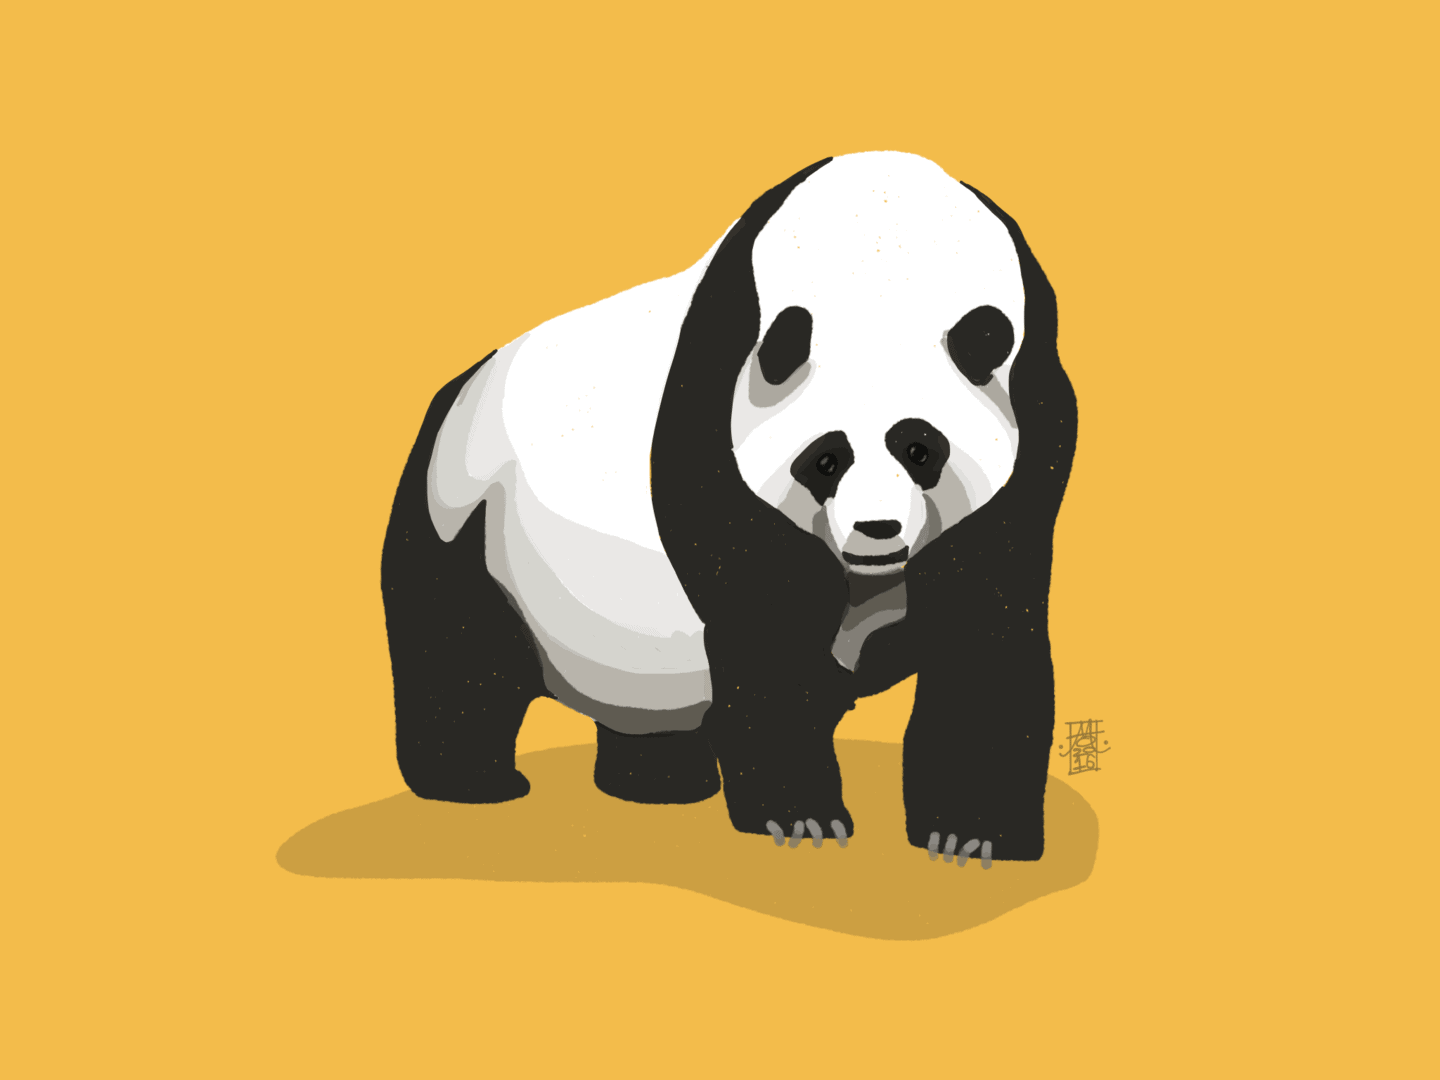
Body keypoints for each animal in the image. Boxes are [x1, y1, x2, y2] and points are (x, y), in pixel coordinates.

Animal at [381, 151, 1077, 865]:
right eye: (827, 459)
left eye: (919, 449)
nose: (876, 531)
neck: (886, 255)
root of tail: (457, 389)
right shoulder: (712, 408)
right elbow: (763, 622)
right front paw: (803, 818)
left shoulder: (1036, 426)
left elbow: (986, 625)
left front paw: (970, 836)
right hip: (465, 512)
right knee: (457, 653)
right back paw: (473, 783)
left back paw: (659, 783)